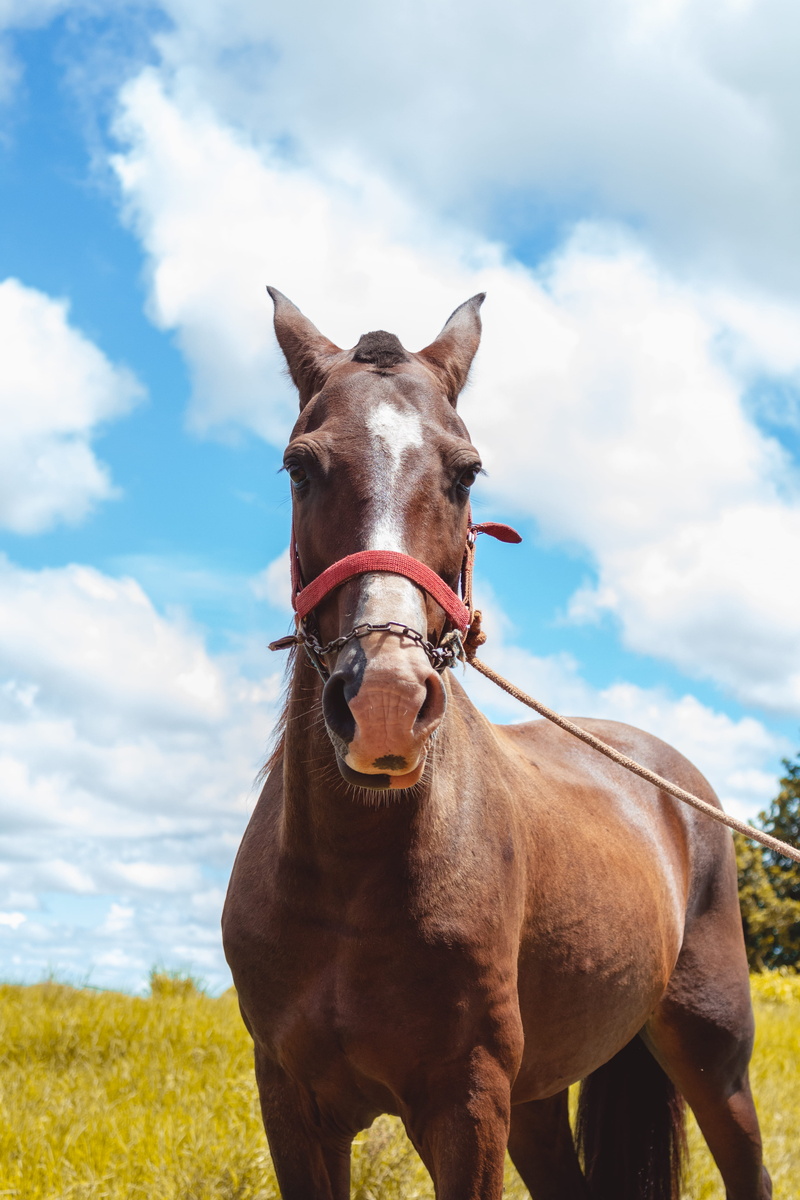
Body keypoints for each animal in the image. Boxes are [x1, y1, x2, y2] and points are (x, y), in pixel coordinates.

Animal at [222, 290, 771, 1200]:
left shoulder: (468, 1106)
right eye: (300, 467)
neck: (350, 880)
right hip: (542, 1099)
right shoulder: (292, 1106)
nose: (384, 701)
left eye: (465, 472)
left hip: (712, 1057)